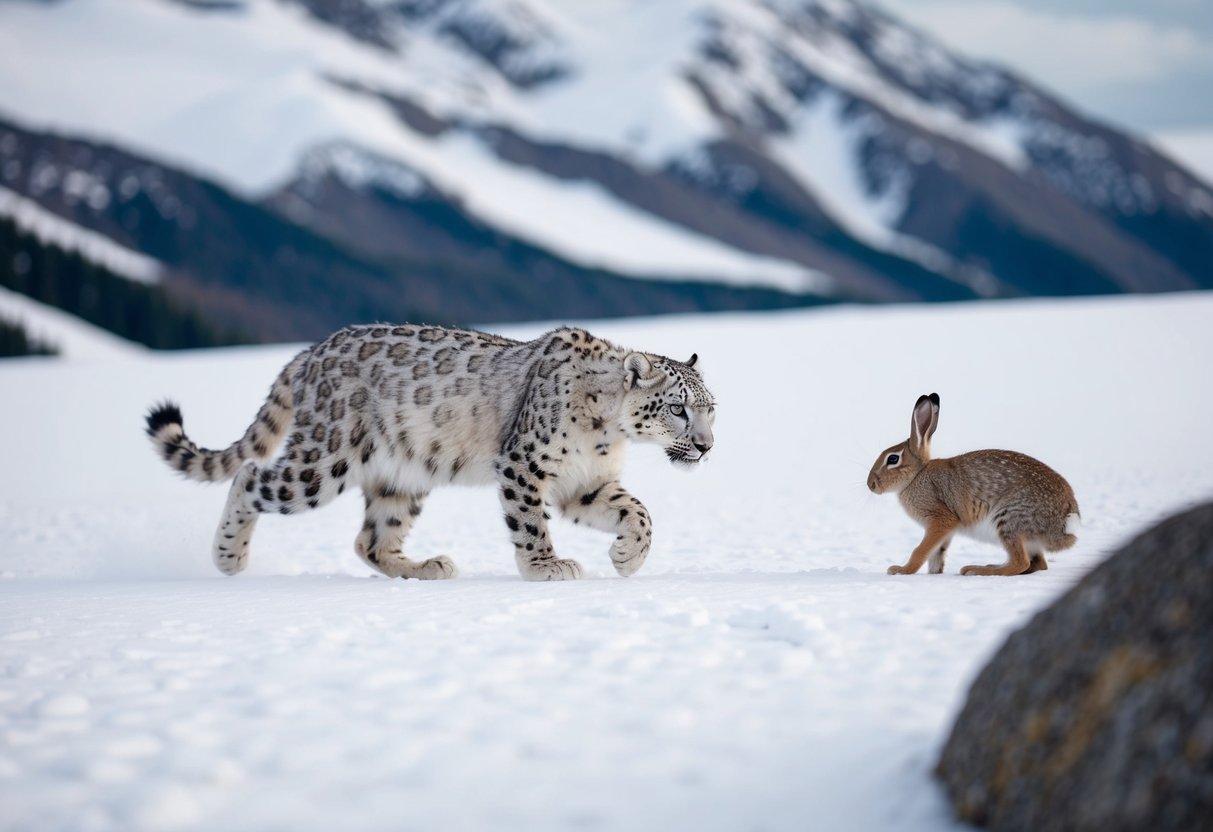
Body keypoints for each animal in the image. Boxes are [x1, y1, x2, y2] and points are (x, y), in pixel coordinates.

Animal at [145, 324, 716, 581]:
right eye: (678, 408)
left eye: (711, 409)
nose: (706, 446)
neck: (606, 433)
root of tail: (310, 351)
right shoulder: (525, 464)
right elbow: (530, 523)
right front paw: (546, 567)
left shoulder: (585, 482)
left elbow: (638, 511)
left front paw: (627, 557)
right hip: (321, 462)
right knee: (249, 475)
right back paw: (229, 558)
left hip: (404, 477)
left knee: (371, 539)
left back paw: (427, 566)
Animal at [867, 393, 1080, 576]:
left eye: (893, 459)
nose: (871, 484)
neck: (917, 475)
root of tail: (1067, 521)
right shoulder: (944, 532)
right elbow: (937, 553)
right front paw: (934, 573)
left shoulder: (940, 519)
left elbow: (921, 550)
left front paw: (902, 570)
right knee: (1037, 564)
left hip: (1009, 518)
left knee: (1021, 562)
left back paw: (977, 570)